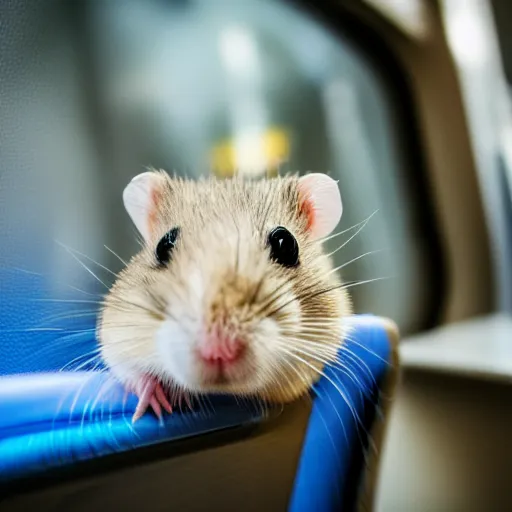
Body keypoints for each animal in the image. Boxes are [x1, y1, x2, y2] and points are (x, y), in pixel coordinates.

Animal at [97, 170, 352, 422]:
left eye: (286, 243)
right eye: (163, 245)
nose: (218, 350)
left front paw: (179, 398)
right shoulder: (116, 333)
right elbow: (130, 370)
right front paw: (159, 405)